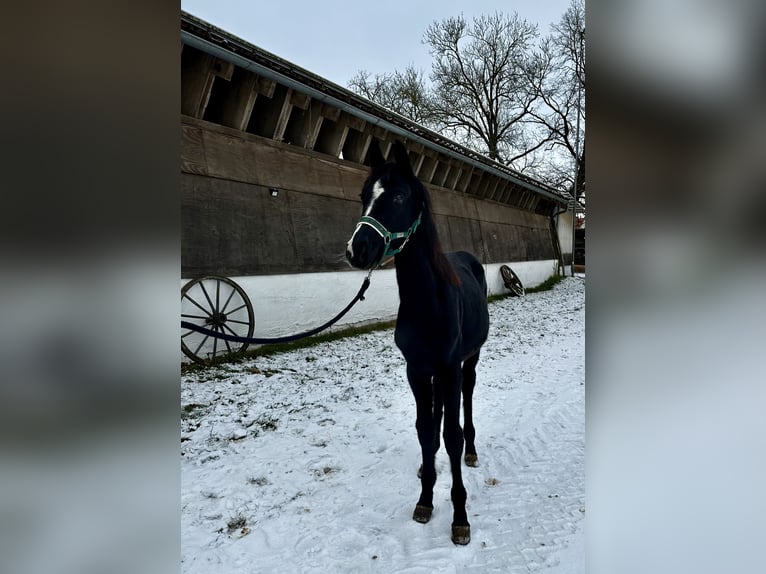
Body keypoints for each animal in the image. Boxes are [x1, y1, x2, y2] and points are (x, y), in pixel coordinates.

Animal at [344, 138, 488, 544]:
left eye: (398, 196)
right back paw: (429, 468)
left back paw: (472, 451)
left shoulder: (450, 367)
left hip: (469, 363)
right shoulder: (416, 370)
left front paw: (460, 518)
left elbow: (452, 434)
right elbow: (426, 429)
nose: (358, 249)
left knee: (467, 402)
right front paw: (425, 498)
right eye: (363, 195)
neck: (428, 300)